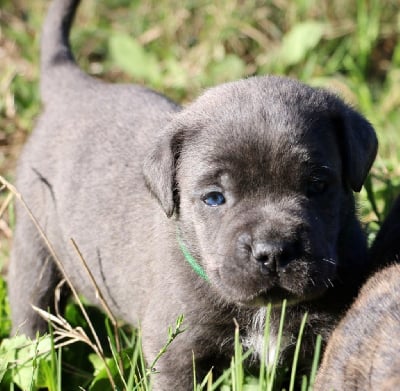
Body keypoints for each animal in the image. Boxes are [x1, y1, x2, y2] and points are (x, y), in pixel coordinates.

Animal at [8, 0, 378, 388]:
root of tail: (74, 86)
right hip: (33, 254)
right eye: (214, 198)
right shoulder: (177, 353)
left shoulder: (327, 337)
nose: (273, 251)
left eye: (317, 185)